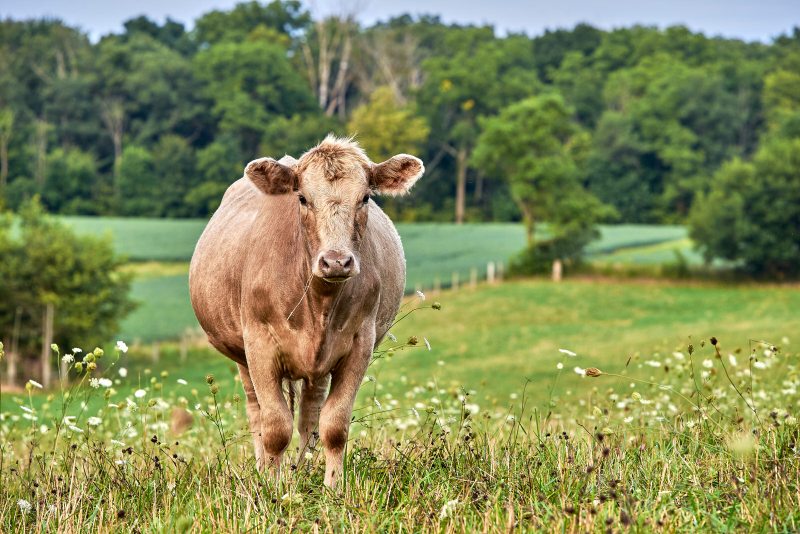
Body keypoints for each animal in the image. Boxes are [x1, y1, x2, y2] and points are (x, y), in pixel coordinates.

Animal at [189, 136, 424, 487]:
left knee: (309, 418)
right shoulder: (259, 344)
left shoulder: (359, 344)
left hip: (320, 367)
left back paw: (302, 470)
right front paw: (271, 489)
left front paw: (332, 488)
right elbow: (274, 428)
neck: (318, 303)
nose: (336, 261)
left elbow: (334, 426)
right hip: (242, 355)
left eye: (365, 197)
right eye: (302, 197)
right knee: (257, 413)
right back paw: (264, 469)